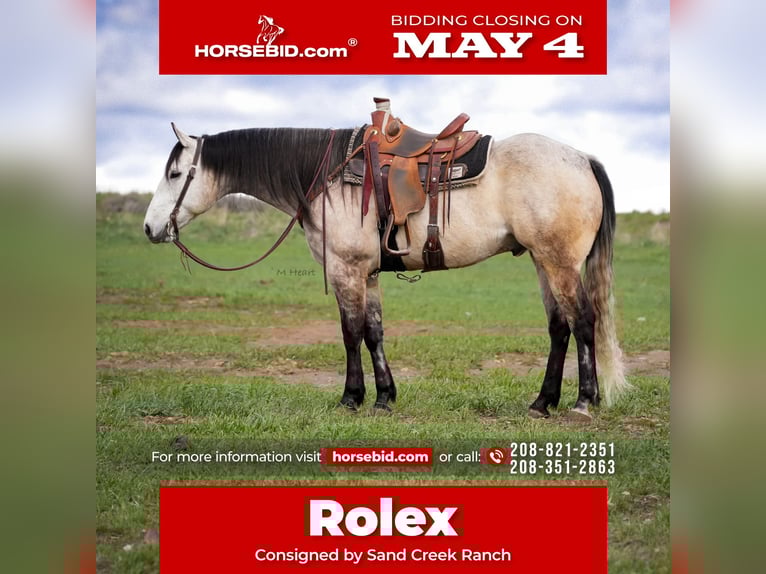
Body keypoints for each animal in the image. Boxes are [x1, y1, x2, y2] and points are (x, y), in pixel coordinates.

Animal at [143, 119, 631, 421]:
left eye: (174, 174)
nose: (150, 228)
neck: (326, 176)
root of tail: (581, 158)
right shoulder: (369, 274)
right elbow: (374, 332)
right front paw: (384, 397)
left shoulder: (346, 271)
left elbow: (350, 332)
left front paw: (350, 397)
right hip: (541, 261)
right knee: (560, 327)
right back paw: (543, 401)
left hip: (559, 262)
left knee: (583, 321)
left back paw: (583, 401)